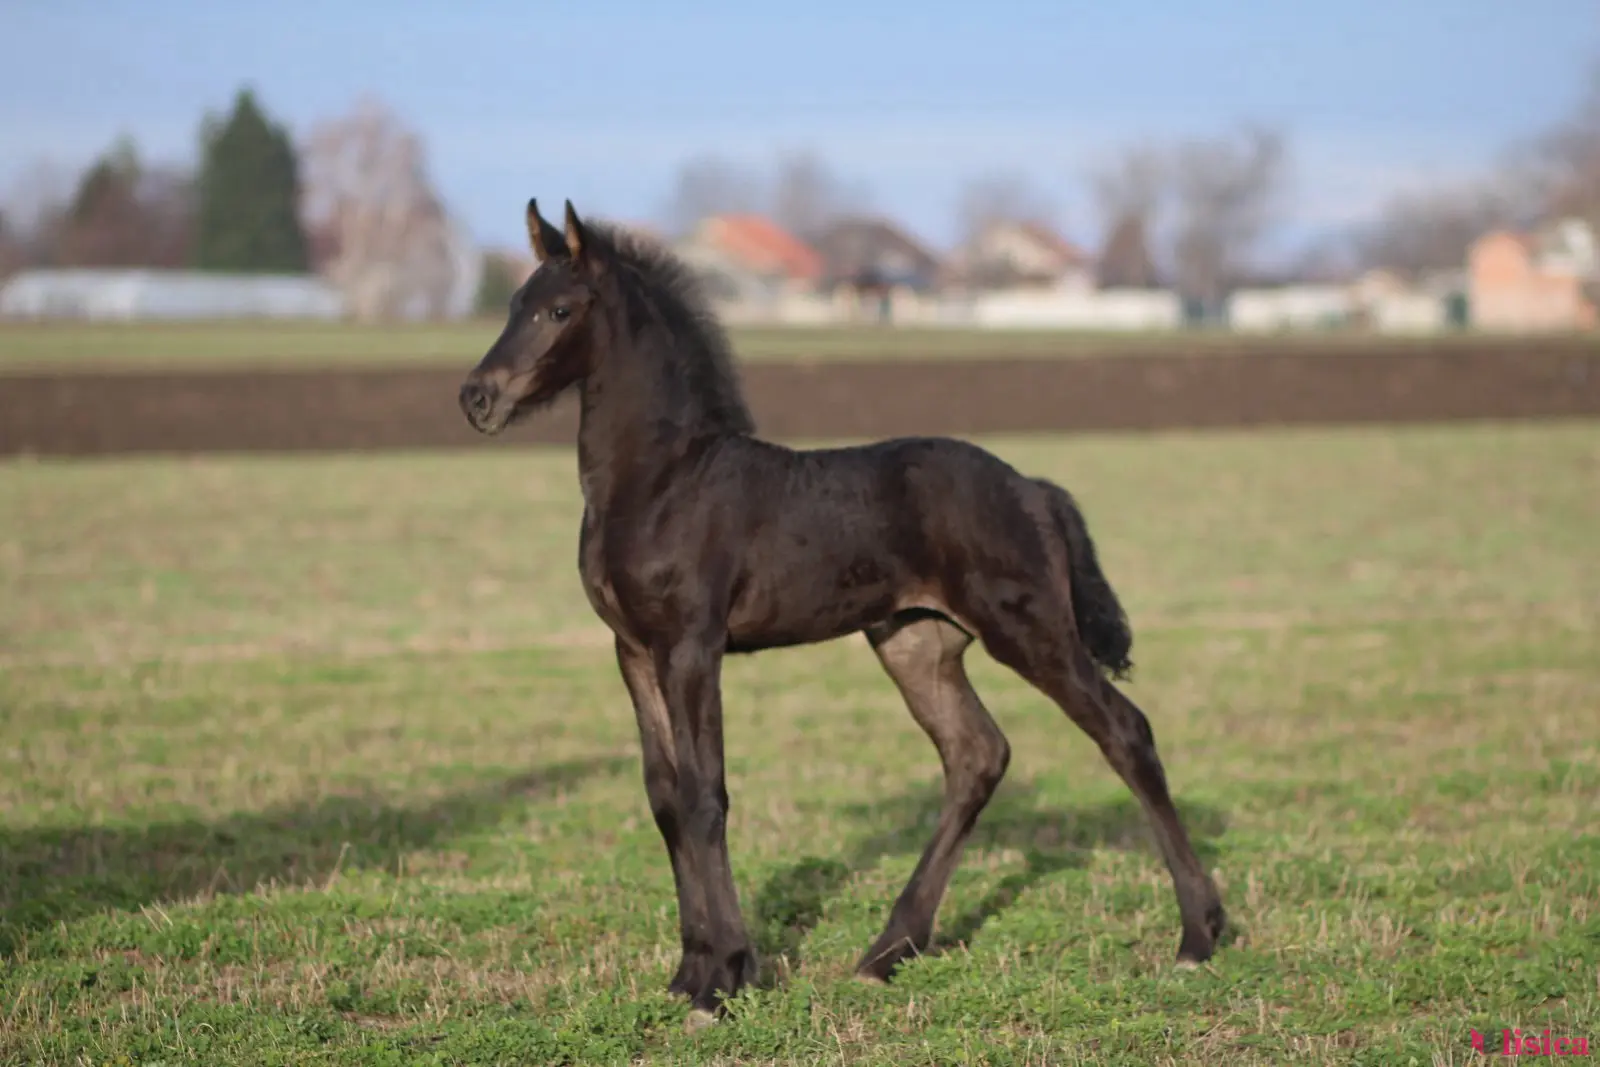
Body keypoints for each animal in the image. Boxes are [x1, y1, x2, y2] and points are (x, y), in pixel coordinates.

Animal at [457, 199, 1228, 1031]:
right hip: (915, 641)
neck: (662, 480)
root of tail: (1033, 488)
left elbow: (704, 795)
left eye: (559, 310)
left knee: (1125, 731)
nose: (477, 397)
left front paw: (724, 979)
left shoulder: (692, 644)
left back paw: (1197, 934)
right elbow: (664, 798)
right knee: (977, 754)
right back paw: (886, 952)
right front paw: (687, 972)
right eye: (512, 303)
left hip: (1028, 627)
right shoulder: (632, 650)